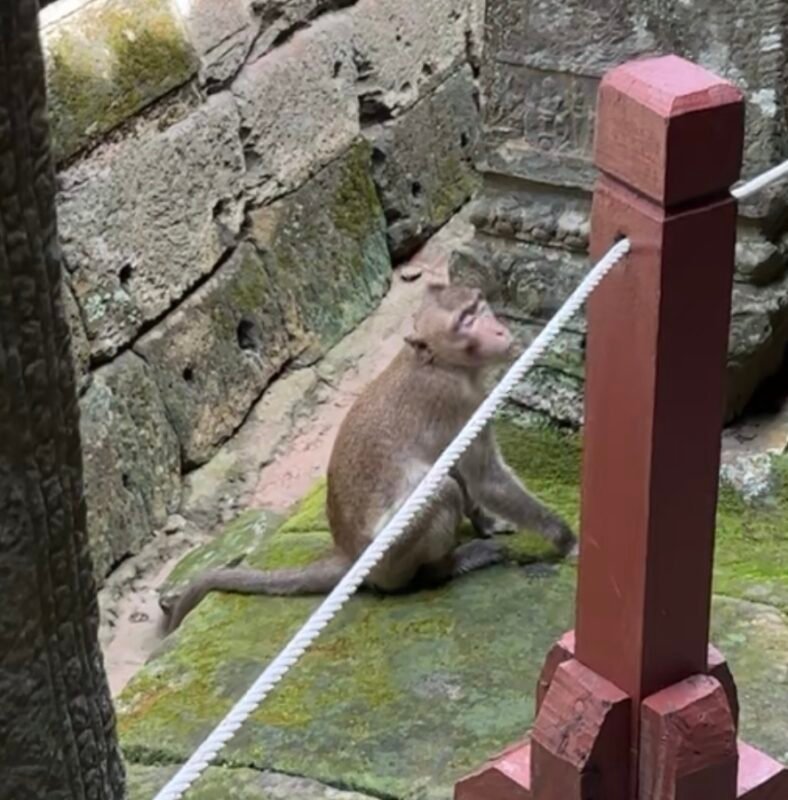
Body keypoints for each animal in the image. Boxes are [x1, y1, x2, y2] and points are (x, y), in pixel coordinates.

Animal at [162, 284, 576, 632]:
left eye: (479, 306)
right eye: (465, 321)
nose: (500, 332)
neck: (441, 363)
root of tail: (350, 555)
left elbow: (467, 472)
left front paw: (487, 522)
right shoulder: (457, 402)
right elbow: (485, 478)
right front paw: (566, 539)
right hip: (391, 558)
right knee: (440, 490)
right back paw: (444, 568)